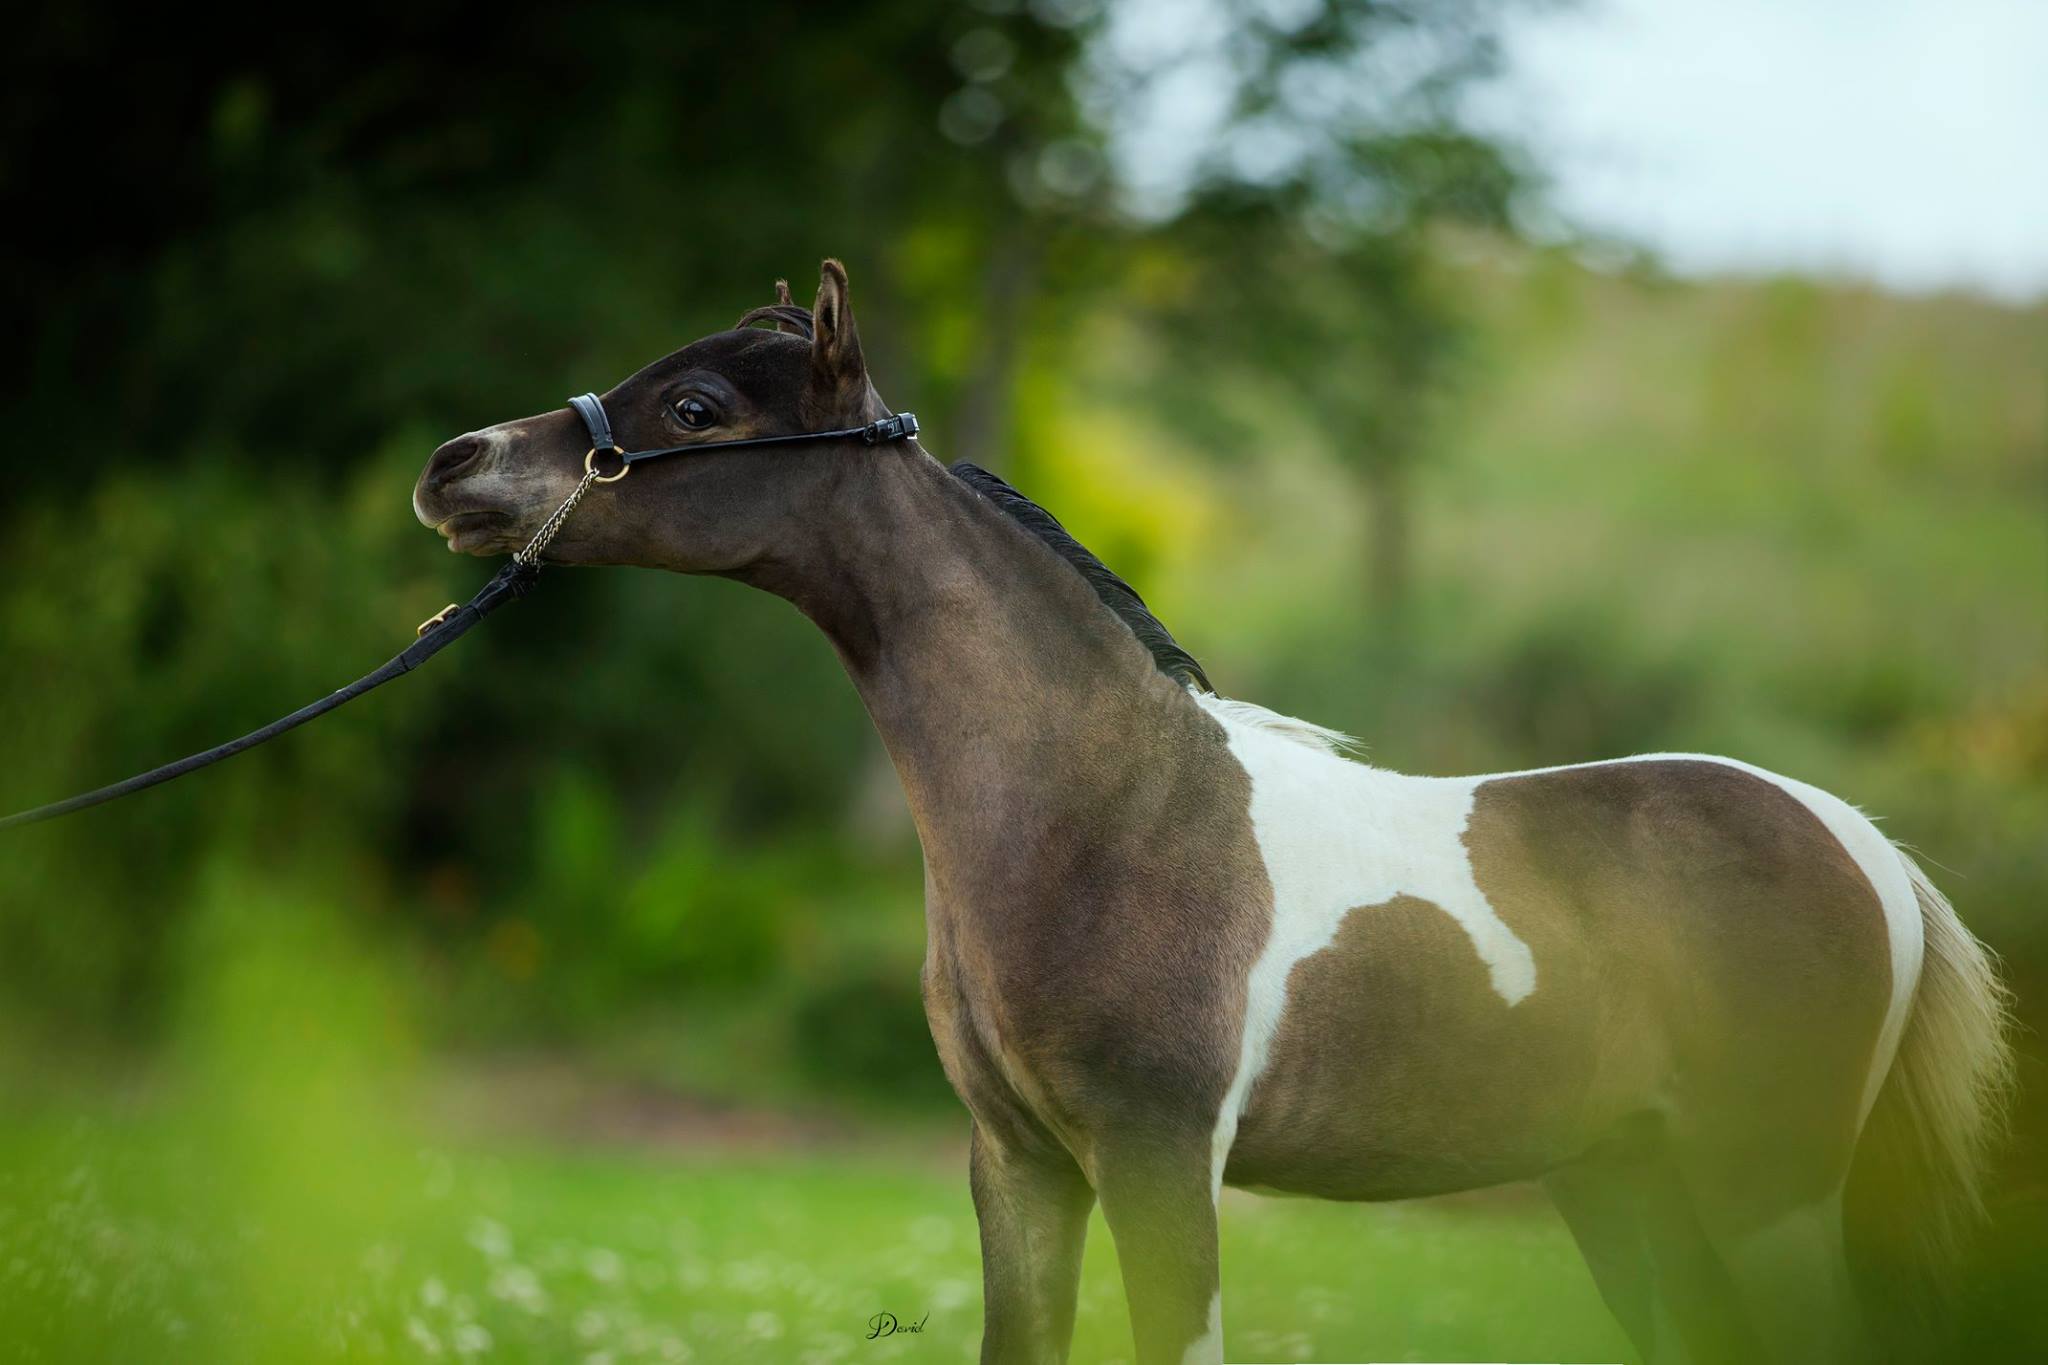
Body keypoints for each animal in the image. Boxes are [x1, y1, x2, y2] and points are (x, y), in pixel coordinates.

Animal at [411, 260, 2012, 1365]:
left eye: (697, 408)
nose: (454, 467)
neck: (1105, 814)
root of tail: (1865, 849)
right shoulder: (1021, 1168)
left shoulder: (1158, 1162)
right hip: (1632, 1197)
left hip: (1762, 1202)